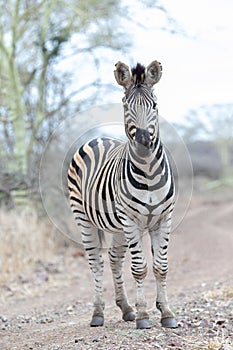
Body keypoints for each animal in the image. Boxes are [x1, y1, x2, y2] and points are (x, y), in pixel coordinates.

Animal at [67, 58, 177, 330]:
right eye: (126, 105)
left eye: (154, 105)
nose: (143, 139)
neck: (148, 172)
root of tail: (98, 138)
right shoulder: (131, 220)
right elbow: (139, 268)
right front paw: (144, 315)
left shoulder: (164, 219)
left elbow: (161, 266)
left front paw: (166, 312)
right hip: (84, 218)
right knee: (96, 262)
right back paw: (98, 313)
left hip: (117, 226)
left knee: (114, 259)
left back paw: (126, 308)